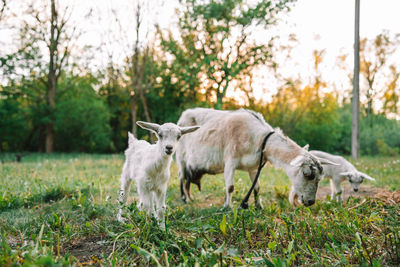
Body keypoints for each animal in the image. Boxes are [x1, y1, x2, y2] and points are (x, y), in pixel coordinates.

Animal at [177, 108, 336, 208]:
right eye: (307, 174)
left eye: (319, 178)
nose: (310, 202)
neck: (257, 137)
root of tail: (183, 115)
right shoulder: (230, 160)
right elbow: (230, 187)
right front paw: (228, 207)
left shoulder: (253, 166)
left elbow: (257, 187)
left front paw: (258, 206)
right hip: (181, 156)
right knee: (181, 177)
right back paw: (184, 199)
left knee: (188, 180)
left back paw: (190, 198)